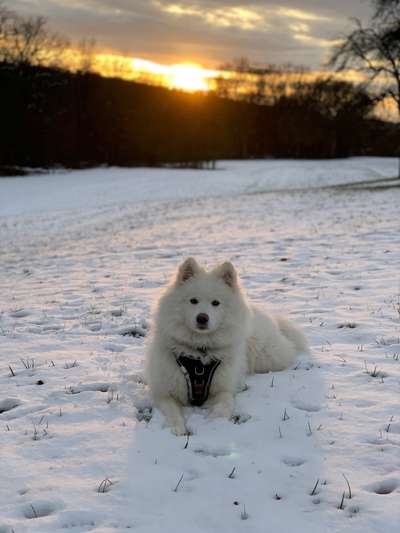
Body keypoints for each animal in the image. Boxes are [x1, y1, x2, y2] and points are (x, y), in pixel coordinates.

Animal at [145, 256, 308, 434]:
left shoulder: (223, 388)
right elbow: (172, 411)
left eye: (216, 303)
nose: (202, 318)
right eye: (193, 301)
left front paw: (214, 423)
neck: (200, 353)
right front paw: (177, 427)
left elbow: (225, 404)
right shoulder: (164, 393)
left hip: (267, 359)